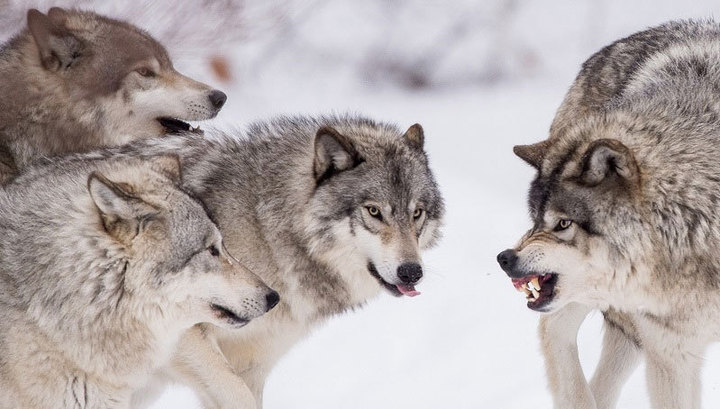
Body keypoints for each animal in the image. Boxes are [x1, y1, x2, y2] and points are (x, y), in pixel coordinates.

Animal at [81, 115, 444, 408]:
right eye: (374, 211)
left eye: (417, 213)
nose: (411, 272)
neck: (267, 230)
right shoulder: (183, 336)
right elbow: (237, 395)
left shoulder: (251, 364)